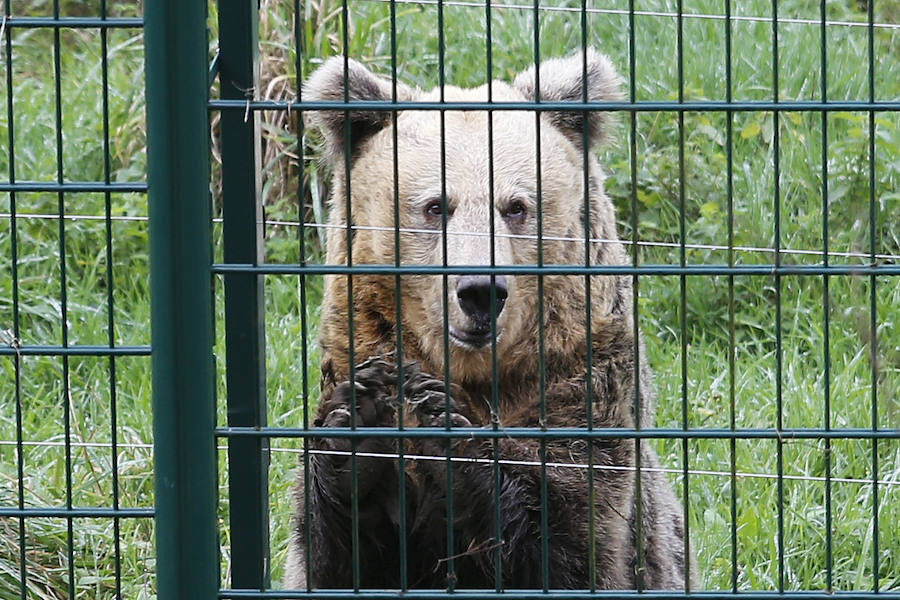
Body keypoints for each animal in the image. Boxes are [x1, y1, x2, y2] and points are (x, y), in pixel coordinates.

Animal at [286, 49, 688, 592]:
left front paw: (446, 428)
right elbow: (338, 557)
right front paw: (360, 422)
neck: (473, 369)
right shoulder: (355, 346)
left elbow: (573, 542)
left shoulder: (581, 379)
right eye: (436, 206)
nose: (480, 291)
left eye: (516, 207)